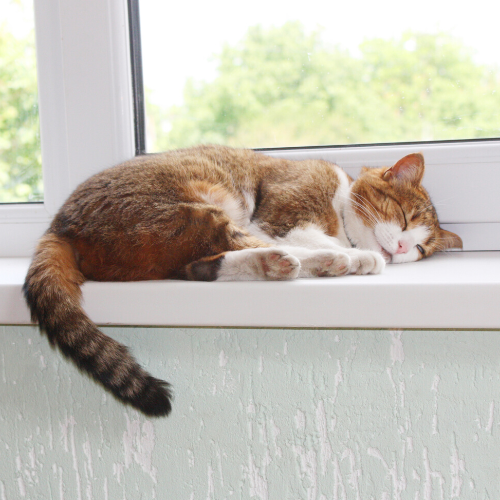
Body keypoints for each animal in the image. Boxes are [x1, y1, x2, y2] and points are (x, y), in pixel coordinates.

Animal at [22, 146, 460, 418]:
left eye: (421, 249)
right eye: (403, 216)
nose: (401, 247)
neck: (340, 216)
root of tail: (59, 224)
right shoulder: (283, 214)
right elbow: (302, 234)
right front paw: (352, 255)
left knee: (201, 266)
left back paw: (278, 265)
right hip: (187, 209)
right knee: (245, 243)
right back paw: (333, 260)